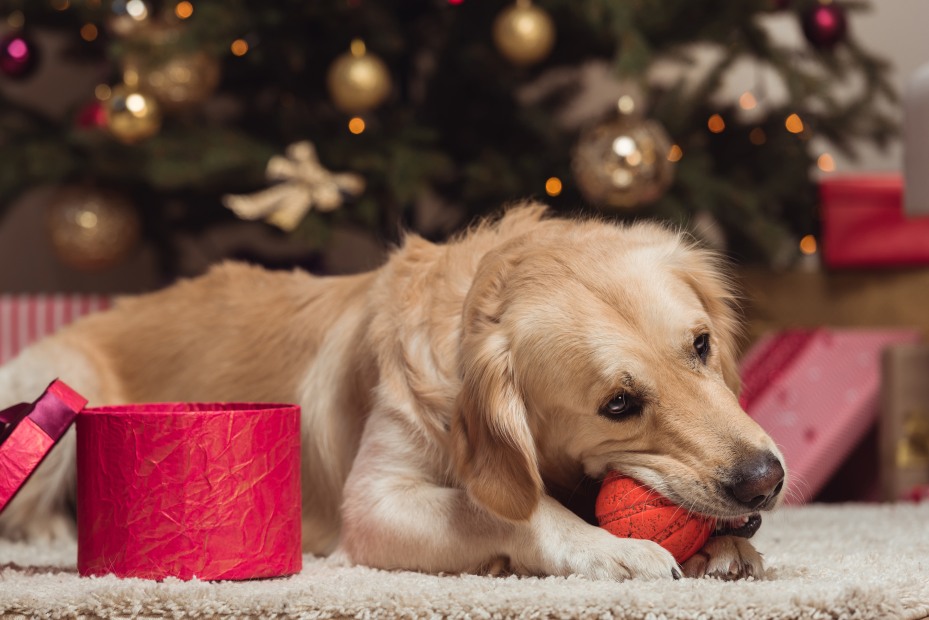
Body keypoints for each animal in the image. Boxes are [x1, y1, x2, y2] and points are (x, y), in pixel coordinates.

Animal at [0, 206, 784, 580]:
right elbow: (508, 509)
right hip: (59, 374)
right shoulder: (375, 502)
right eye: (618, 404)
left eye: (701, 345)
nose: (766, 480)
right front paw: (609, 549)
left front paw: (720, 548)